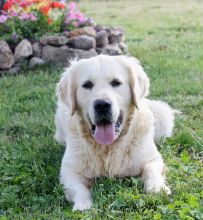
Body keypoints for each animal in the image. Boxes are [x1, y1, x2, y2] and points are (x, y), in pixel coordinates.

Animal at [54, 54, 175, 211]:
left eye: (116, 83)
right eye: (87, 85)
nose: (102, 105)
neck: (108, 148)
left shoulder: (153, 158)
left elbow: (150, 169)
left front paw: (157, 189)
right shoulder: (68, 170)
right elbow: (78, 188)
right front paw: (83, 205)